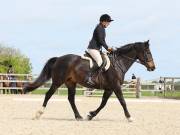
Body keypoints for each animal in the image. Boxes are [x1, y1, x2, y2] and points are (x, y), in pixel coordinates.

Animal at [23, 40, 156, 121]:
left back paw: (79, 116)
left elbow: (103, 103)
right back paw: (38, 114)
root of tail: (59, 58)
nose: (153, 67)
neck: (119, 63)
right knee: (48, 94)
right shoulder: (116, 86)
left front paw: (90, 115)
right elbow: (123, 102)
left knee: (71, 99)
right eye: (148, 52)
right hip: (57, 82)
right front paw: (129, 117)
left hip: (71, 83)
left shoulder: (109, 88)